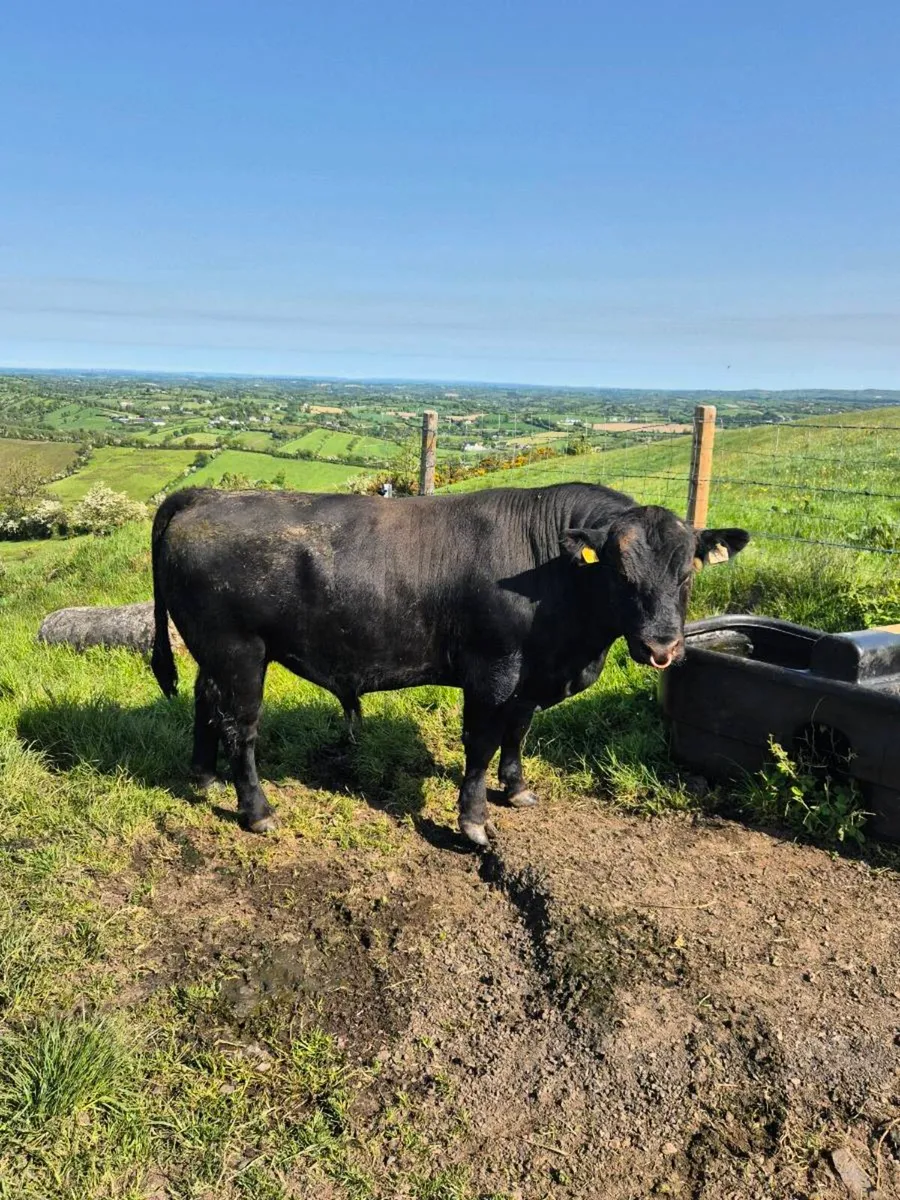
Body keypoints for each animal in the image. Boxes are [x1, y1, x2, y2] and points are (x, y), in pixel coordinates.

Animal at [150, 484, 748, 846]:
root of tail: (207, 496)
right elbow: (481, 744)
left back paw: (203, 776)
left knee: (207, 702)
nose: (662, 647)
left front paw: (517, 788)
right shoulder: (492, 672)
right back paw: (256, 809)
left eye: (687, 572)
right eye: (621, 573)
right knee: (242, 728)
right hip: (239, 652)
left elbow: (518, 732)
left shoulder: (530, 678)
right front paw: (474, 820)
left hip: (213, 653)